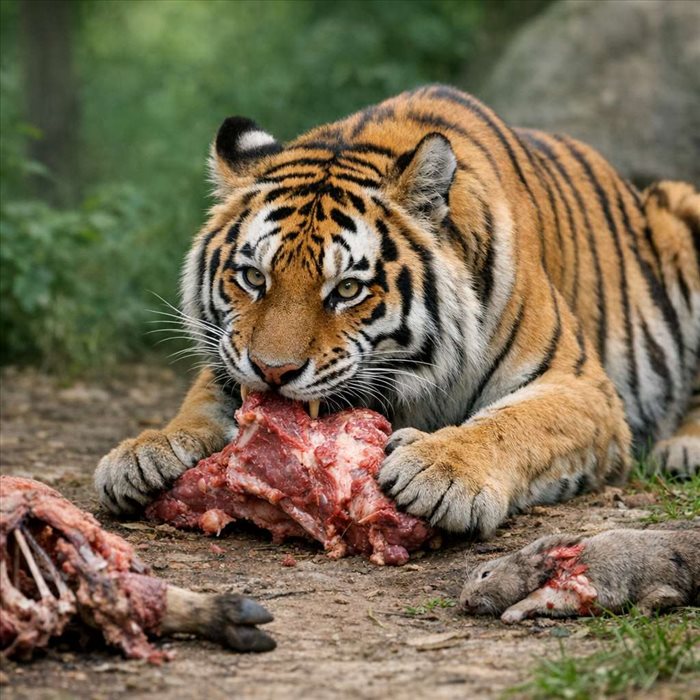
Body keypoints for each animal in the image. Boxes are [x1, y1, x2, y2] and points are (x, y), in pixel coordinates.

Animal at [94, 85, 700, 537]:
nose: (273, 372)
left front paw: (440, 469)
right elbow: (200, 403)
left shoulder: (581, 387)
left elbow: (516, 424)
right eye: (253, 278)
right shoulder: (228, 360)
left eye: (346, 290)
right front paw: (146, 451)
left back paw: (684, 447)